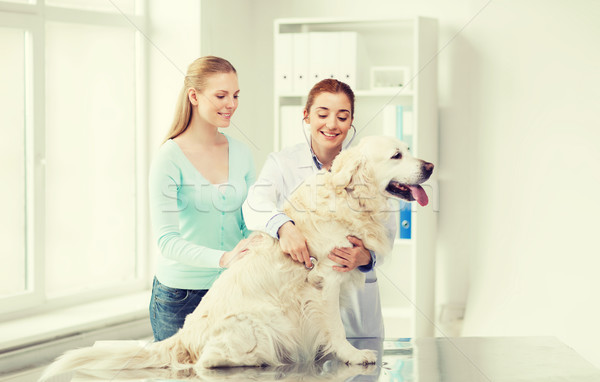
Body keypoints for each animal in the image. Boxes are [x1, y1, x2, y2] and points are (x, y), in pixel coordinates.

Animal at [39, 136, 432, 380]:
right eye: (396, 156)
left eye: (408, 149)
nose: (429, 166)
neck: (350, 198)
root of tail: (183, 337)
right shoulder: (323, 283)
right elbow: (334, 327)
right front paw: (352, 354)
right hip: (258, 322)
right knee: (207, 362)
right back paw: (262, 360)